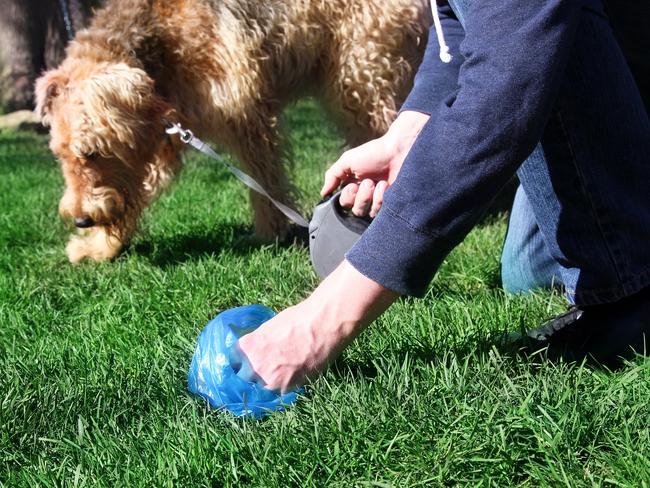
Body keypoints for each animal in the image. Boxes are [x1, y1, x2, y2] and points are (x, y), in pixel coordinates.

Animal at [36, 0, 430, 264]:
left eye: (92, 151)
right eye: (60, 154)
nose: (82, 219)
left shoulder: (245, 113)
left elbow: (264, 180)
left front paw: (269, 232)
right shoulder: (161, 140)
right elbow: (134, 194)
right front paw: (99, 247)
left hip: (362, 76)